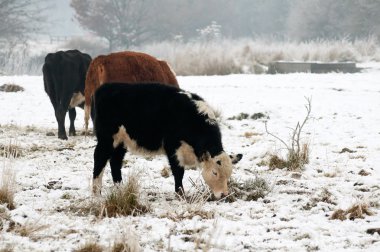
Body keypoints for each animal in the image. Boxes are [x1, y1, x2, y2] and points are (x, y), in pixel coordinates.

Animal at [91, 82, 240, 199]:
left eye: (229, 174)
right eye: (215, 172)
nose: (224, 195)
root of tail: (105, 87)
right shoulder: (173, 148)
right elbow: (179, 172)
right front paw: (180, 194)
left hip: (121, 141)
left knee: (115, 162)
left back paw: (120, 189)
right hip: (107, 139)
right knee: (100, 159)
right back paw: (96, 193)